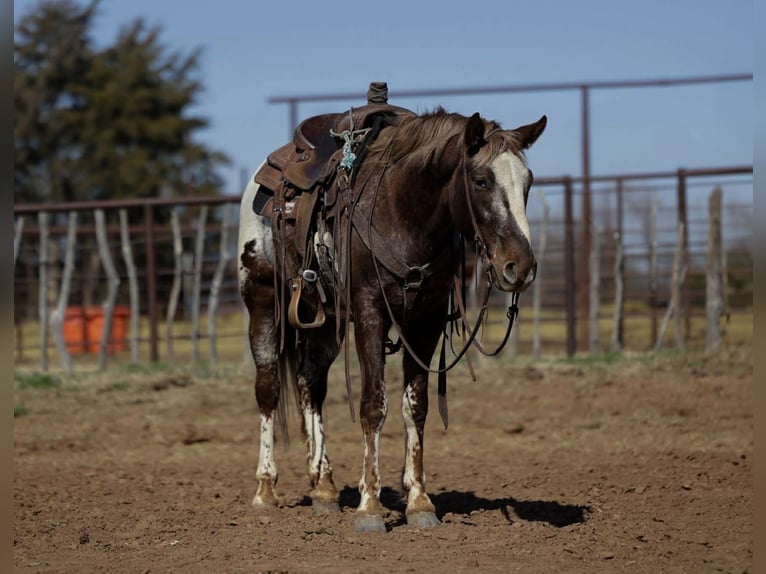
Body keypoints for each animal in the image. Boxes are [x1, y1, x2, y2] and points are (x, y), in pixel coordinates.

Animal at [238, 104, 546, 532]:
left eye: (528, 183)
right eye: (481, 180)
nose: (521, 267)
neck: (403, 210)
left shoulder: (426, 319)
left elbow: (416, 407)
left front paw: (419, 501)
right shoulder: (371, 311)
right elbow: (373, 404)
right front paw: (370, 506)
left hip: (325, 322)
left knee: (310, 385)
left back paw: (324, 486)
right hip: (263, 300)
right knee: (268, 388)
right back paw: (266, 489)